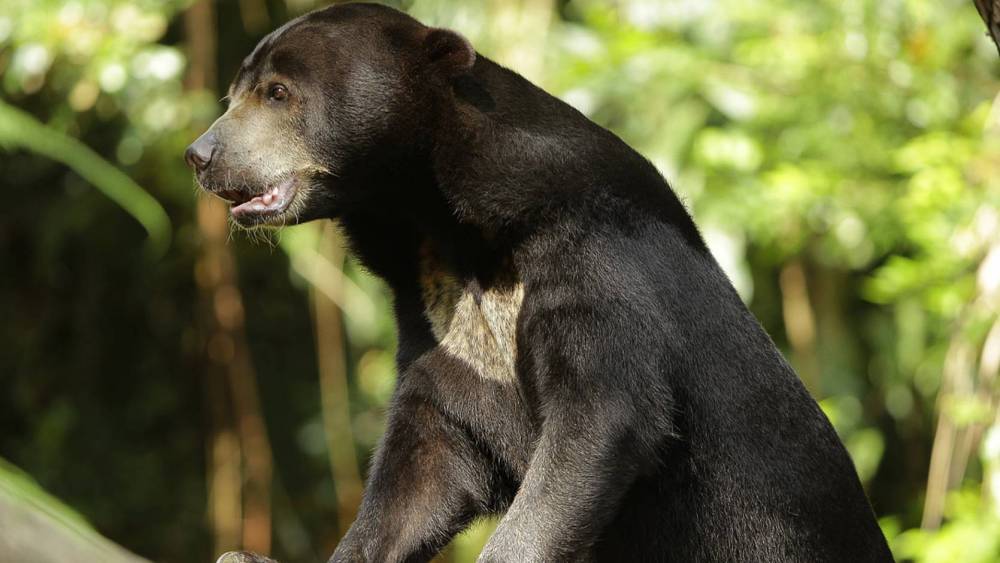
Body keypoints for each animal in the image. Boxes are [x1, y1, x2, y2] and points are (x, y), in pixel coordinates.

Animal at [185, 3, 894, 562]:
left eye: (278, 93)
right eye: (231, 96)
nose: (201, 156)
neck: (442, 220)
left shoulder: (593, 258)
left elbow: (598, 420)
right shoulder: (437, 312)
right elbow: (430, 456)